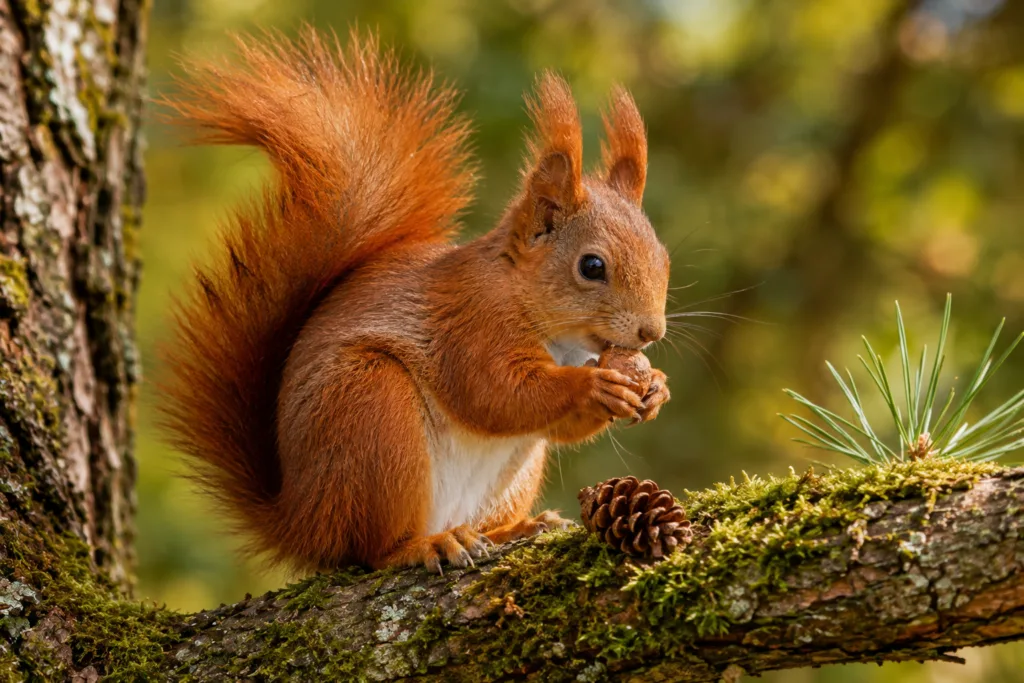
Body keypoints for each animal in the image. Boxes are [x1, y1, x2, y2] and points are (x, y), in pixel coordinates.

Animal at [159, 27, 671, 574]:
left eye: (663, 256)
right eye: (591, 267)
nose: (651, 332)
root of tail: (300, 520)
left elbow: (555, 426)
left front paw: (656, 387)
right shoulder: (470, 321)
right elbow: (498, 394)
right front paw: (596, 385)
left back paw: (514, 527)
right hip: (371, 414)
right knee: (372, 548)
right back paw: (425, 545)